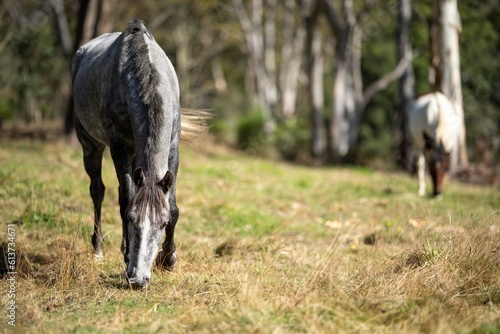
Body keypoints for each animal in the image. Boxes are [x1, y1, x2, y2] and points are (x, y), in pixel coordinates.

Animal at [71, 19, 204, 288]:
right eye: (132, 219)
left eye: (163, 223)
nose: (138, 279)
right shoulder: (118, 146)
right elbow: (126, 200)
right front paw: (128, 258)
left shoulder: (172, 148)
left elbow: (172, 206)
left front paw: (168, 259)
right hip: (91, 145)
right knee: (98, 191)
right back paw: (99, 249)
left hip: (134, 155)